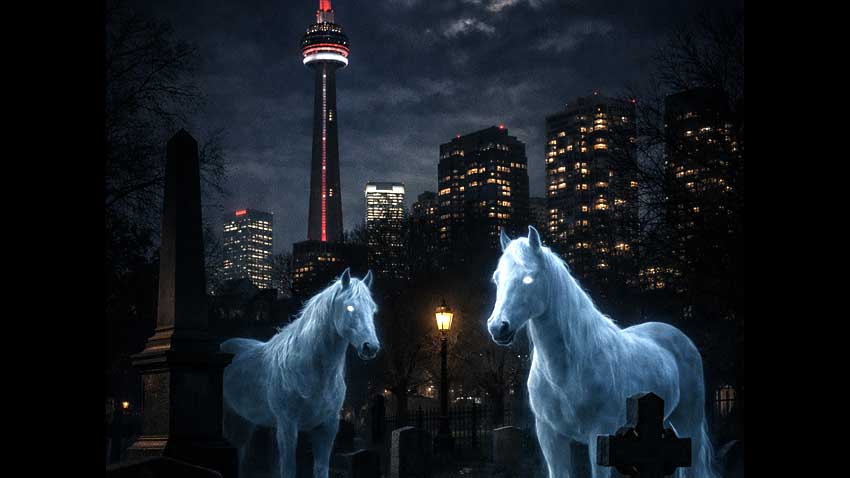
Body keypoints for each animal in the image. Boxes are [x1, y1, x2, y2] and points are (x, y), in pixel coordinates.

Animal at [221, 268, 380, 478]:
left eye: (373, 309)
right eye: (350, 308)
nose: (371, 347)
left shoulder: (328, 427)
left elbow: (321, 469)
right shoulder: (287, 426)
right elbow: (288, 469)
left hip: (245, 422)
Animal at [487, 226, 716, 478]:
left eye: (529, 278)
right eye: (496, 278)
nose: (497, 327)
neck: (568, 368)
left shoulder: (600, 434)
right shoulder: (550, 436)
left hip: (688, 423)